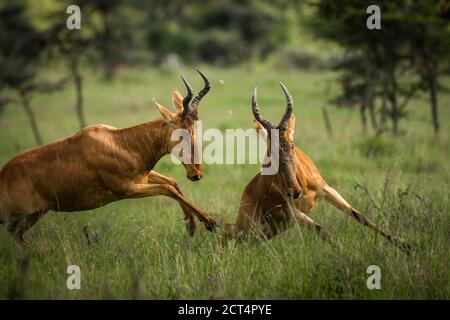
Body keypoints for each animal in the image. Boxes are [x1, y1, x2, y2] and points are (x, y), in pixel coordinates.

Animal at [0, 69, 216, 244]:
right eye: (183, 133)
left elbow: (173, 183)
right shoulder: (126, 190)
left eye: (196, 128)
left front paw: (191, 225)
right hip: (19, 217)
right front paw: (209, 221)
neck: (119, 142)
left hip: (33, 216)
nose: (196, 174)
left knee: (19, 239)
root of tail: (4, 174)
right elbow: (168, 188)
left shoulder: (143, 177)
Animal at [223, 84, 410, 252]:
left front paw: (407, 246)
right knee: (230, 234)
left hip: (269, 230)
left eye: (292, 145)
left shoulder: (326, 190)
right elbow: (322, 230)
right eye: (269, 151)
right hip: (252, 227)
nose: (294, 191)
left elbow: (359, 215)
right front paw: (349, 253)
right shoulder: (291, 212)